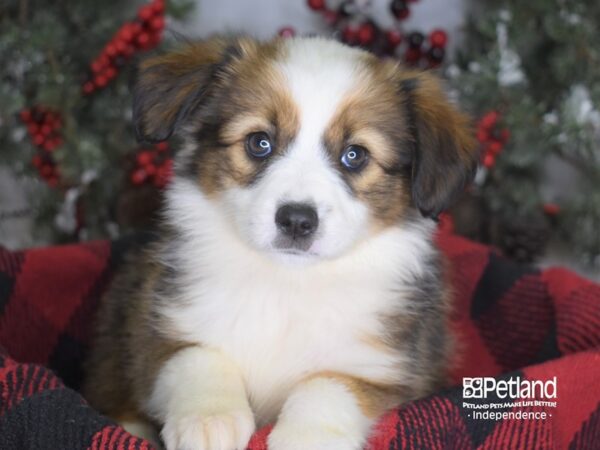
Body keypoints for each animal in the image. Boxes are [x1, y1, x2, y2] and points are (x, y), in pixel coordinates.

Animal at [84, 36, 478, 450]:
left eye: (354, 155)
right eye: (260, 143)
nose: (297, 221)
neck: (287, 284)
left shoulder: (388, 368)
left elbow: (328, 386)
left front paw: (305, 438)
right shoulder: (154, 325)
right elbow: (194, 355)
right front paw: (210, 417)